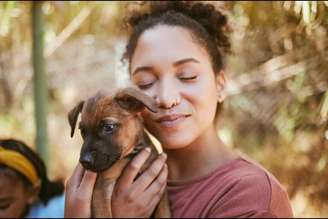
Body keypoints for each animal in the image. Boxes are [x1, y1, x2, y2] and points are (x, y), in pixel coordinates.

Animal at [67, 87, 169, 217]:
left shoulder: (162, 193)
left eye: (108, 127)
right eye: (82, 131)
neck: (129, 156)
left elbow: (165, 213)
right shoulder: (101, 189)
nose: (84, 161)